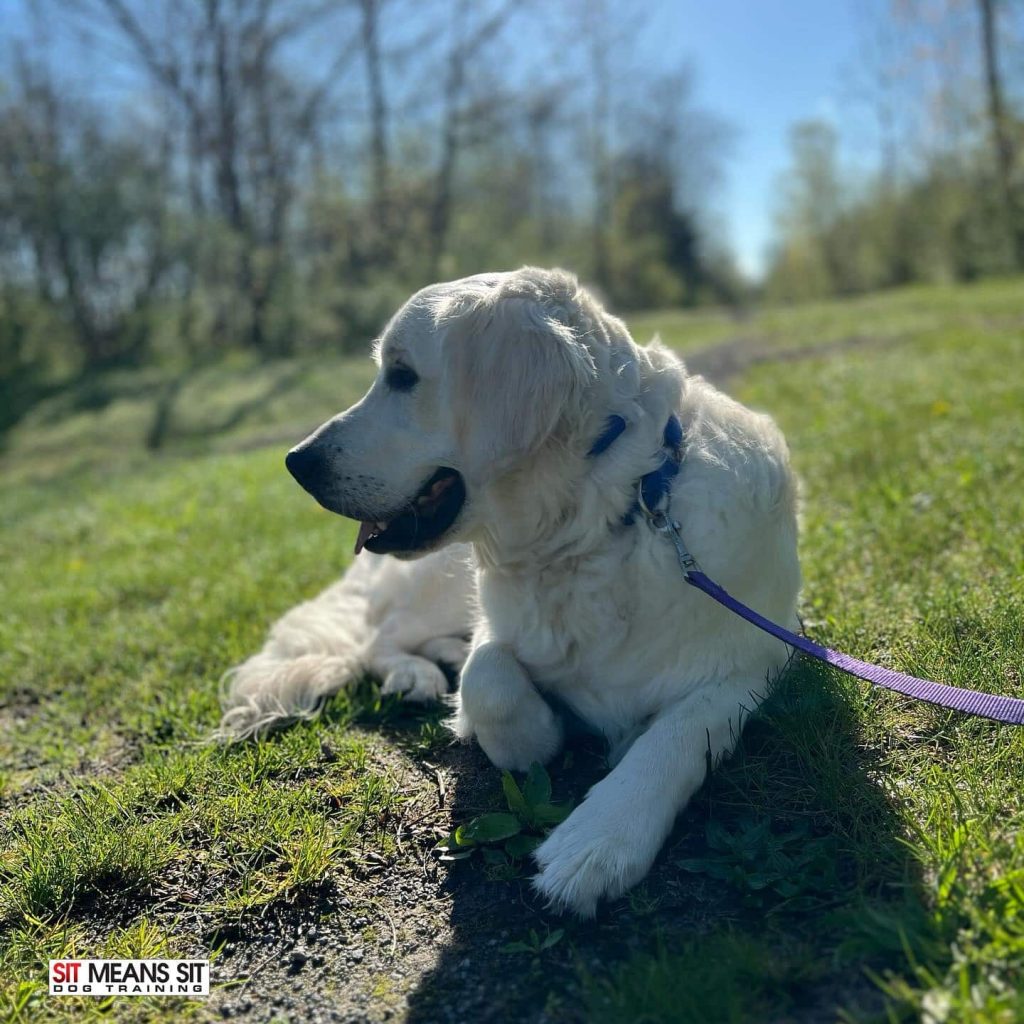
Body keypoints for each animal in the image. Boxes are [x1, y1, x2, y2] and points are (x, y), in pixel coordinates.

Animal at [219, 266, 801, 916]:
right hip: (439, 581)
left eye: (401, 374)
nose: (296, 462)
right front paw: (537, 733)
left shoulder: (756, 662)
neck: (608, 517)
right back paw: (417, 675)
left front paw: (599, 838)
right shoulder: (499, 627)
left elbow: (676, 734)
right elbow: (490, 677)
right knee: (378, 638)